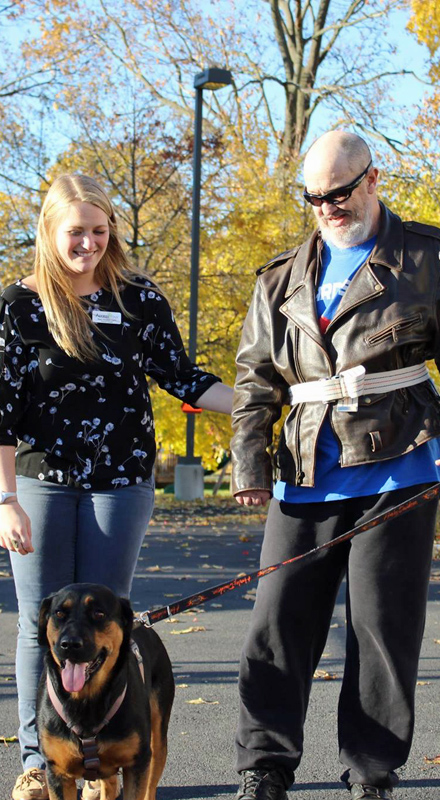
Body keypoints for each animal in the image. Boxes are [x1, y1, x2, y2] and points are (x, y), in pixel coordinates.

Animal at [36, 580, 174, 800]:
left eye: (98, 613)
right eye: (59, 613)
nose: (69, 644)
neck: (86, 701)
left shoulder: (137, 765)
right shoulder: (57, 773)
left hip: (157, 739)